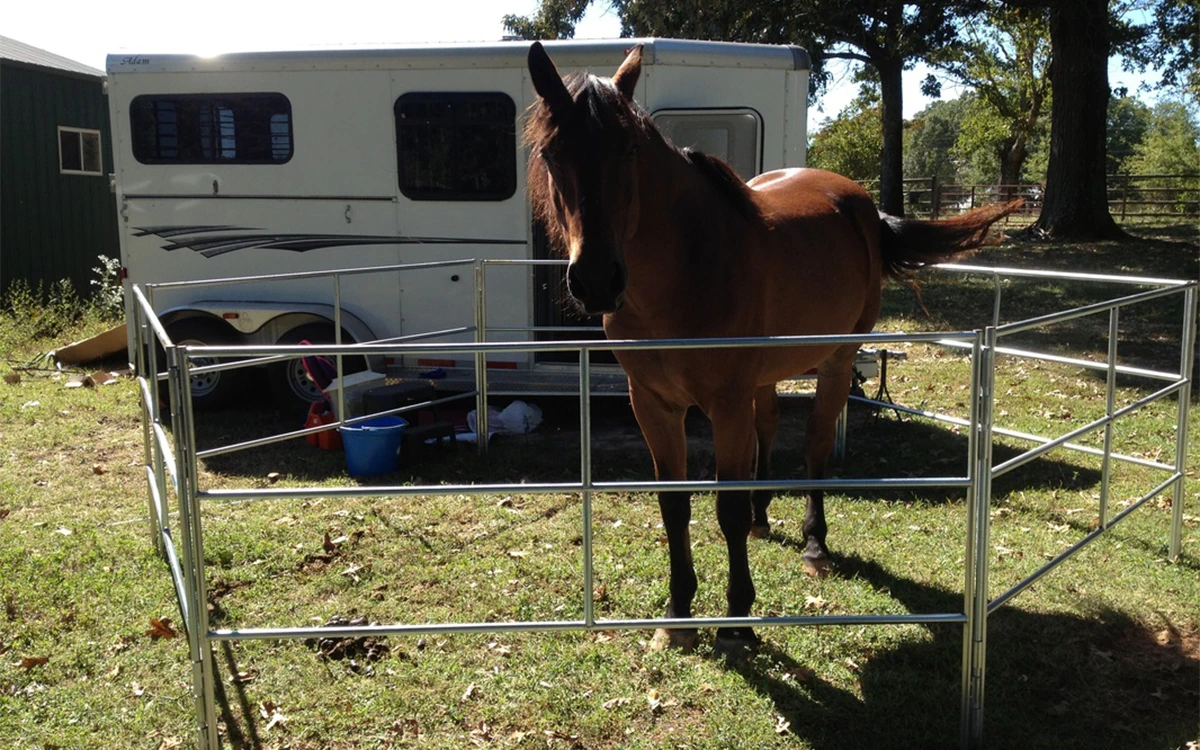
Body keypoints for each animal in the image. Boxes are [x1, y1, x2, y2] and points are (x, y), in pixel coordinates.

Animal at [528, 43, 1022, 657]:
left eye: (630, 150)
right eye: (552, 154)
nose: (596, 280)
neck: (686, 270)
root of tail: (860, 204)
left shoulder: (724, 404)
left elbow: (726, 509)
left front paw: (737, 620)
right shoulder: (653, 404)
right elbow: (674, 506)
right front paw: (677, 613)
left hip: (836, 361)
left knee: (814, 445)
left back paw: (815, 546)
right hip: (763, 379)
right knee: (767, 429)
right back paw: (766, 518)